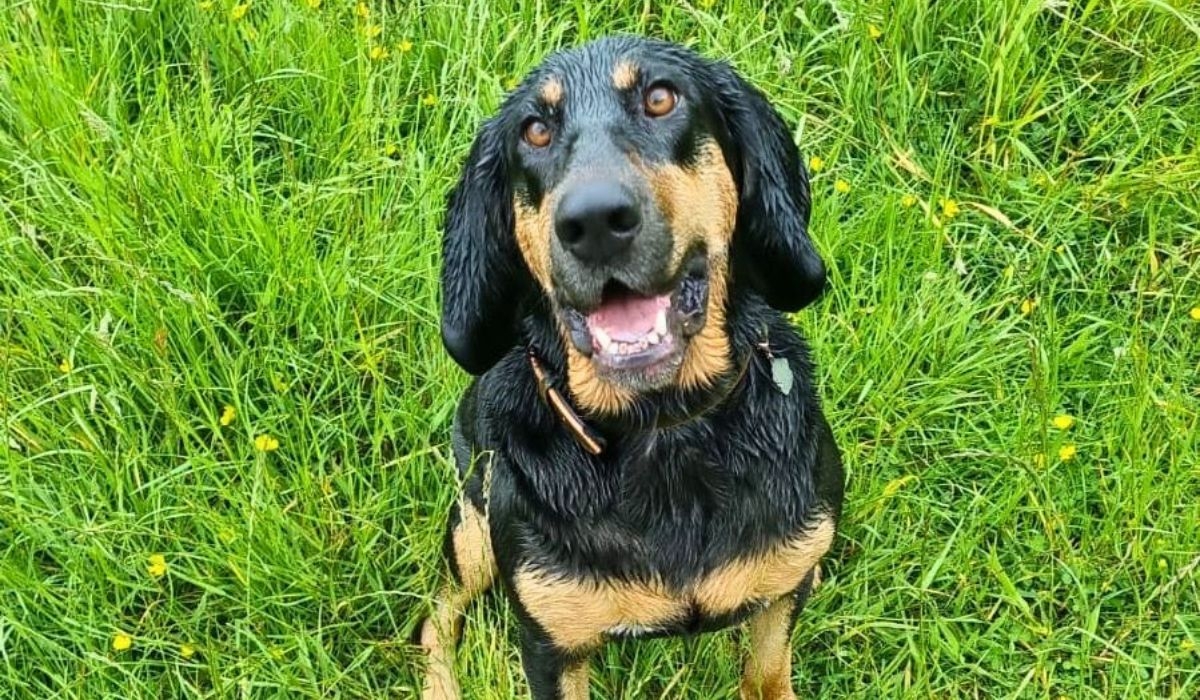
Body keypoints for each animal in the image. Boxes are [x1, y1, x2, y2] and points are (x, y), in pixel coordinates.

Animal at [420, 38, 844, 700]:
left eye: (661, 98)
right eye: (535, 131)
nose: (594, 220)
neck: (662, 429)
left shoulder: (782, 590)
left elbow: (768, 671)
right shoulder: (551, 642)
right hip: (474, 527)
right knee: (438, 614)